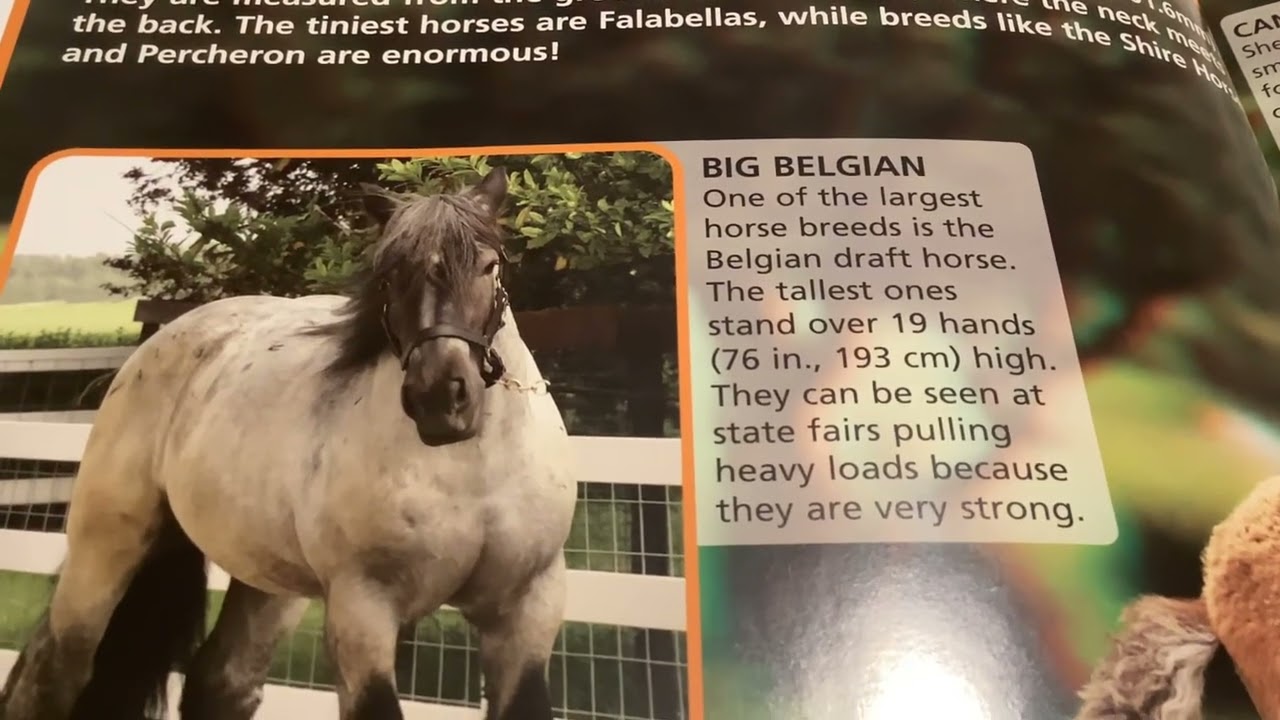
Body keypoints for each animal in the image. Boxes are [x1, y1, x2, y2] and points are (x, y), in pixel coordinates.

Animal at [0, 166, 579, 720]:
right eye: (391, 275)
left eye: (489, 266)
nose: (440, 397)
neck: (471, 474)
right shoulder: (363, 610)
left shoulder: (527, 610)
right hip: (106, 547)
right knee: (55, 670)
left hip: (267, 581)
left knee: (224, 682)